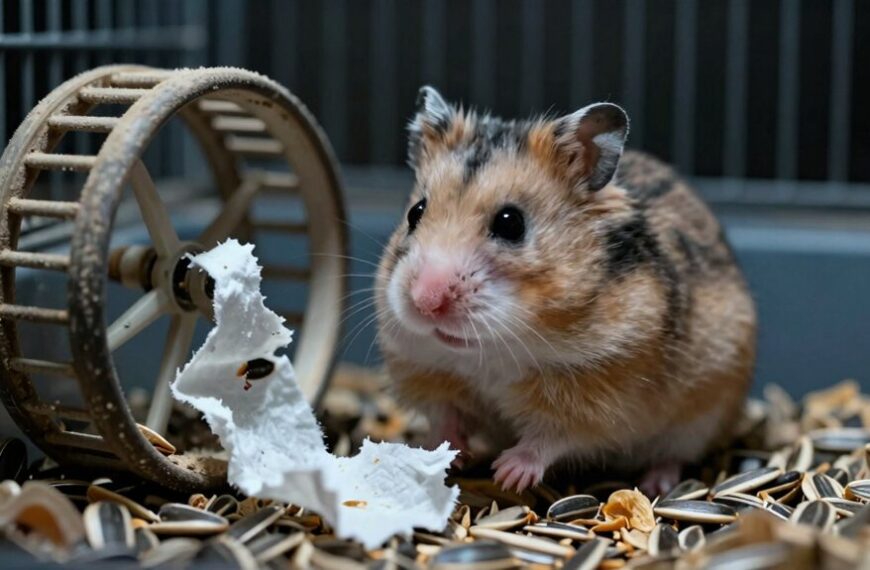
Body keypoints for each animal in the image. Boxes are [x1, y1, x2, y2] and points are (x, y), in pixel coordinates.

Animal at [374, 86, 756, 495]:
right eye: (415, 212)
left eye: (511, 223)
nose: (425, 301)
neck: (491, 351)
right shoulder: (428, 368)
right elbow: (445, 416)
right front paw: (446, 452)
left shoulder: (599, 395)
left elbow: (551, 436)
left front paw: (507, 473)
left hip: (701, 418)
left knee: (673, 455)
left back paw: (657, 485)